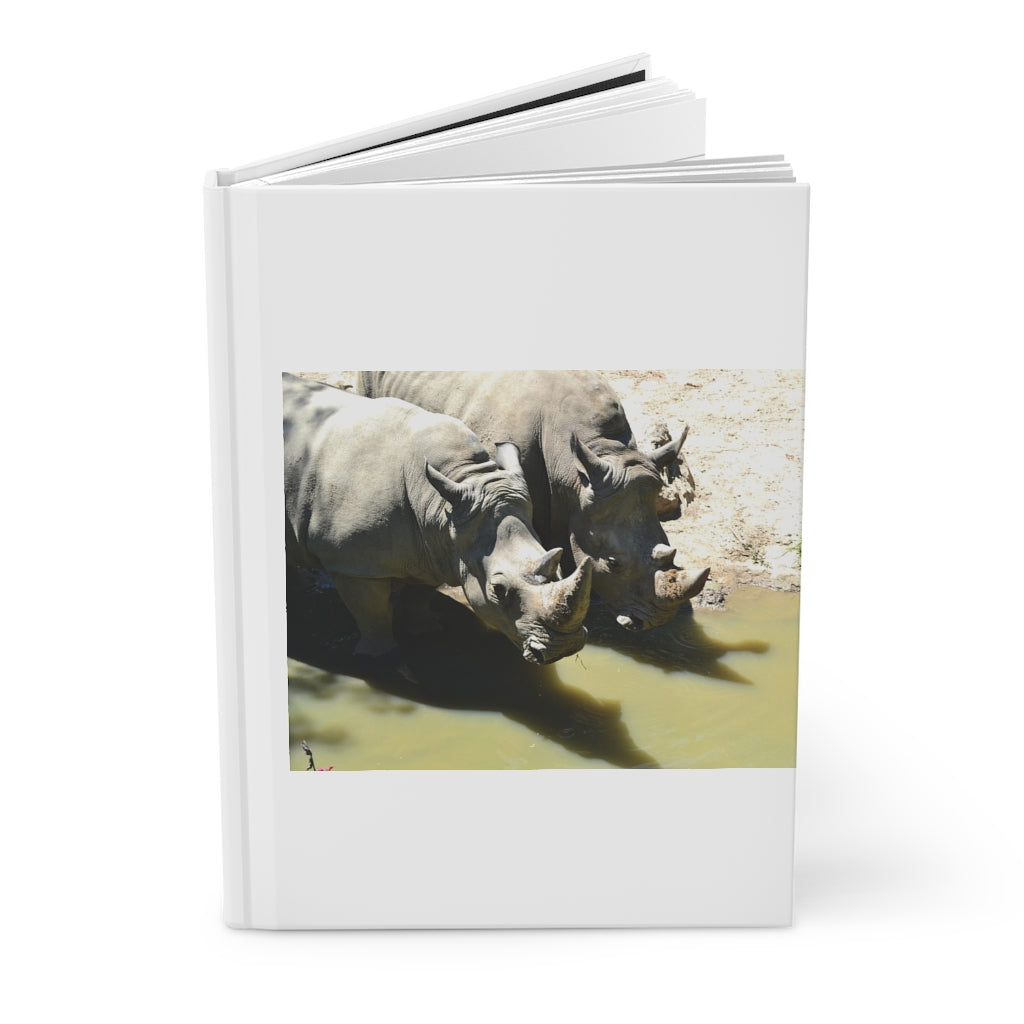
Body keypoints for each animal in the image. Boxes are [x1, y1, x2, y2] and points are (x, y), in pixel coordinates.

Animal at [283, 373, 592, 663]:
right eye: (498, 589)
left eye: (559, 568)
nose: (564, 649)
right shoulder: (351, 563)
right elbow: (372, 613)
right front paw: (380, 657)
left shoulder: (434, 547)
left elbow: (420, 595)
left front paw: (426, 632)